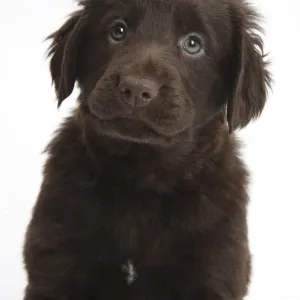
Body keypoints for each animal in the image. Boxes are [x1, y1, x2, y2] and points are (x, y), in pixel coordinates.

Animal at [23, 0, 270, 300]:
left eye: (193, 43)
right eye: (118, 30)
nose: (136, 88)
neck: (140, 179)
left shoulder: (213, 269)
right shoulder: (55, 261)